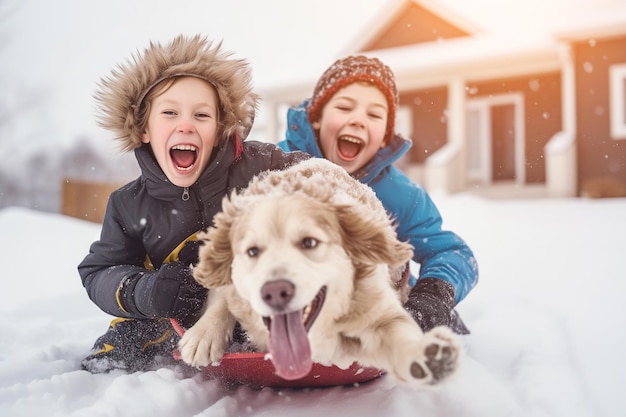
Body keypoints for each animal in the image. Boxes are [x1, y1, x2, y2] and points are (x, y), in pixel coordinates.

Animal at [178, 158, 460, 386]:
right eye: (253, 251)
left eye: (310, 243)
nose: (276, 291)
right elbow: (223, 300)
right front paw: (204, 334)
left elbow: (397, 330)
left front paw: (426, 355)